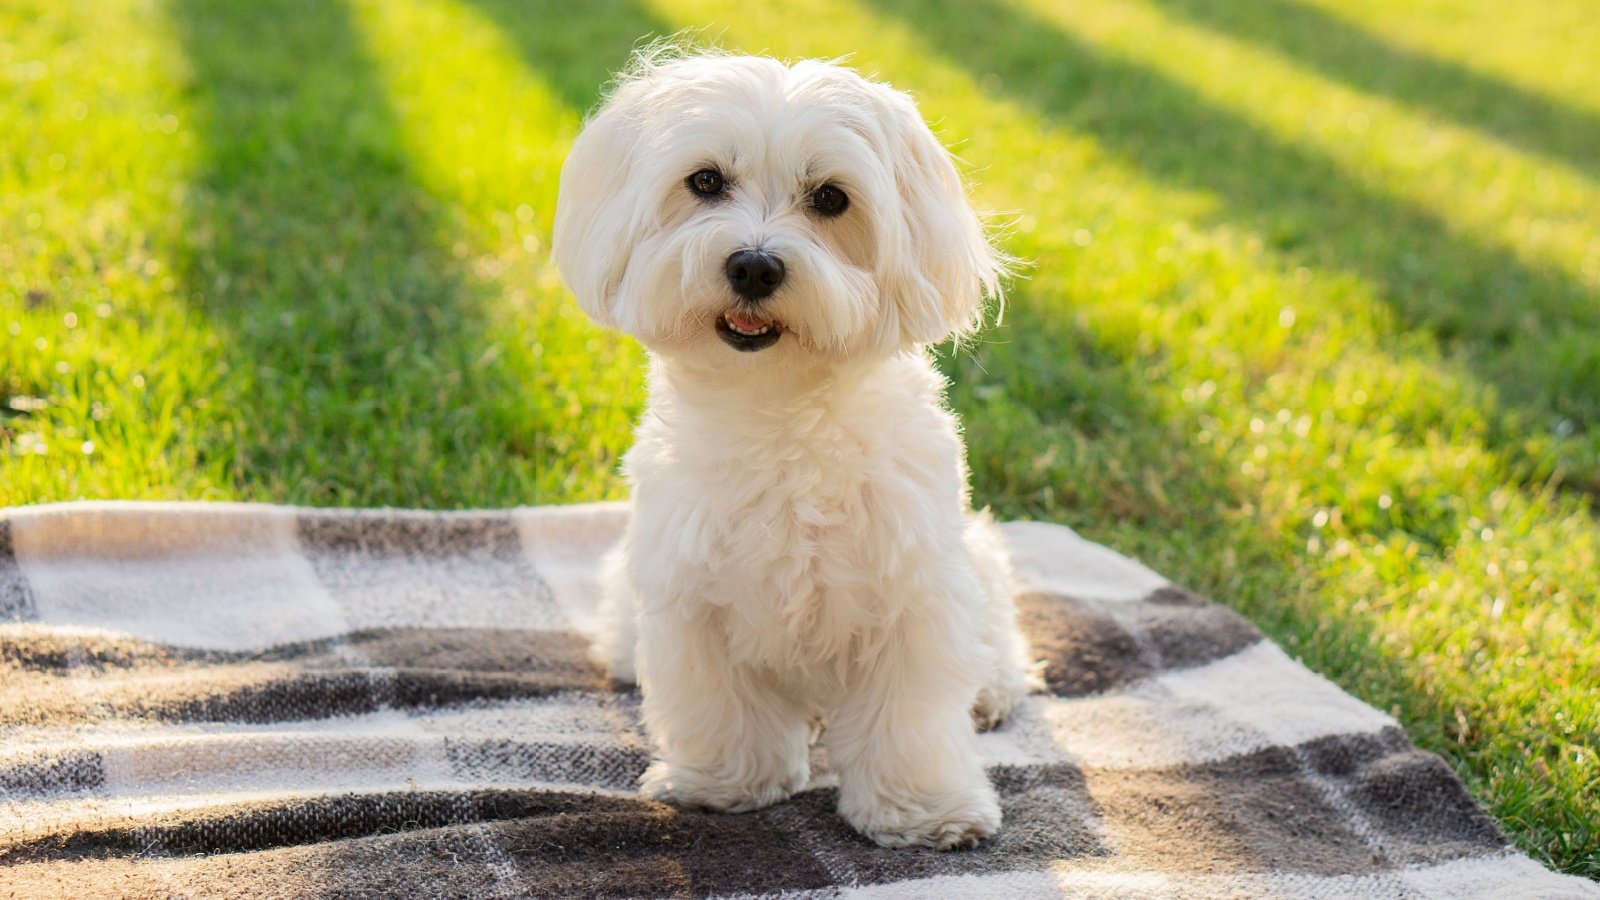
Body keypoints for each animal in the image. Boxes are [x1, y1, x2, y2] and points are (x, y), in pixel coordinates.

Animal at [556, 50, 1043, 845]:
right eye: (705, 182)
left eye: (831, 198)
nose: (754, 265)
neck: (778, 410)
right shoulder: (692, 593)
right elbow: (720, 702)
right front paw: (725, 781)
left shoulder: (913, 589)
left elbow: (909, 718)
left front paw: (923, 808)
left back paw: (992, 686)